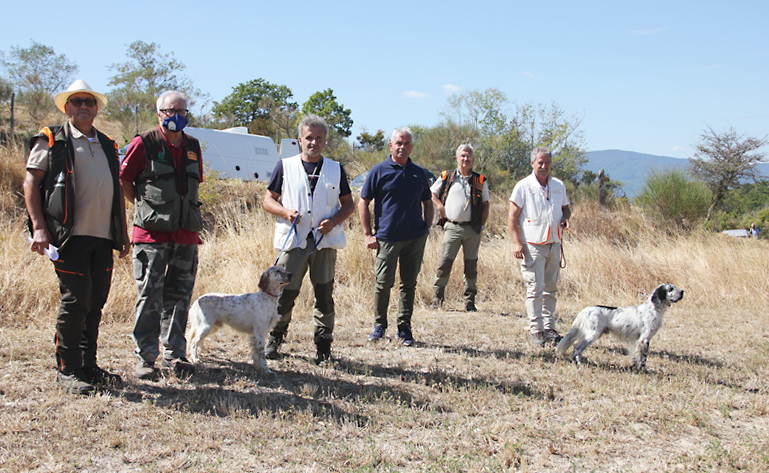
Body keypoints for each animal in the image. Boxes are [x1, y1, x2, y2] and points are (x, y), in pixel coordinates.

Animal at [552, 284, 684, 368]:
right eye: (670, 289)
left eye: (675, 287)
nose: (682, 291)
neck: (653, 308)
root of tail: (586, 310)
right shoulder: (645, 339)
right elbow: (643, 358)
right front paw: (643, 370)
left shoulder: (637, 341)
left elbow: (636, 355)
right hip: (592, 334)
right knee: (577, 348)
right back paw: (580, 363)